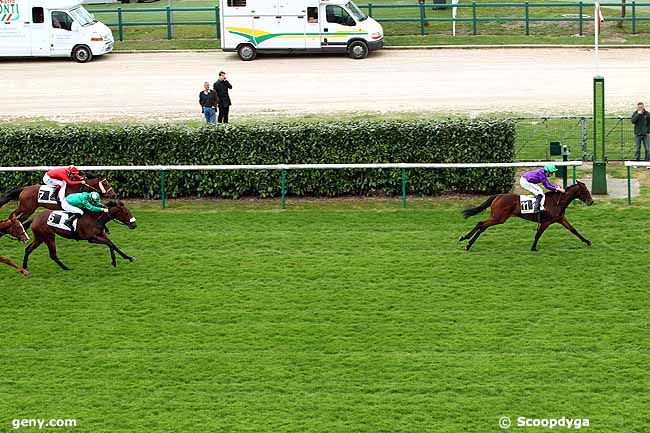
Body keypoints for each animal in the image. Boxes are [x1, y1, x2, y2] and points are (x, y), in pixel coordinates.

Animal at [456, 181, 592, 251]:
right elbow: (538, 234)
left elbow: (573, 230)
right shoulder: (546, 222)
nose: (591, 202)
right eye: (586, 191)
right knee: (481, 224)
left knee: (482, 226)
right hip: (499, 218)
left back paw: (467, 241)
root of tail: (498, 196)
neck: (557, 202)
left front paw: (587, 241)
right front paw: (533, 247)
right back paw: (466, 241)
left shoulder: (560, 219)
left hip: (497, 217)